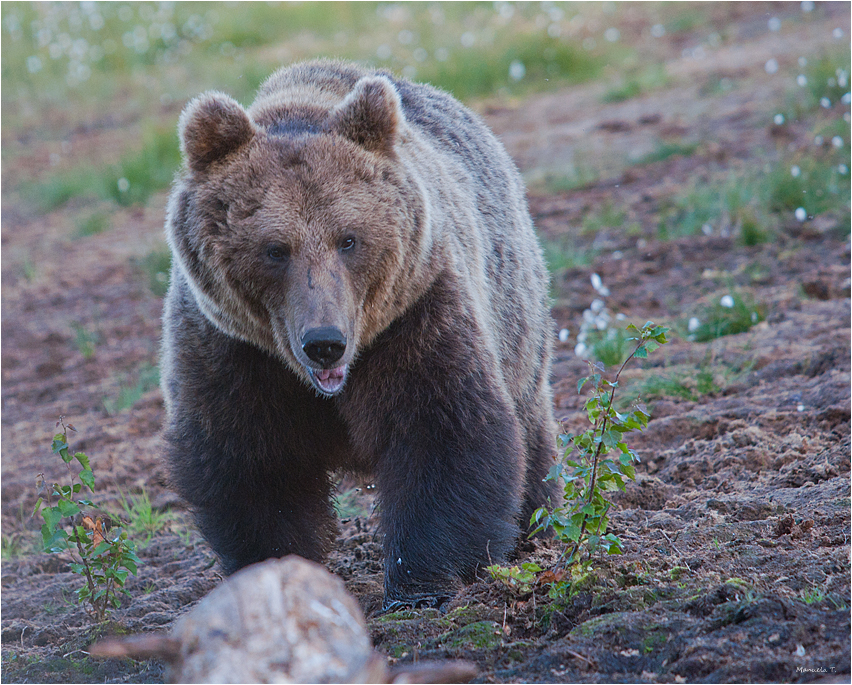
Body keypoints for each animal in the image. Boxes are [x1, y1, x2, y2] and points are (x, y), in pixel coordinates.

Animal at [162, 57, 556, 604]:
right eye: (274, 249)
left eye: (349, 239)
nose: (325, 343)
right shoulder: (231, 349)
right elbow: (249, 461)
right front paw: (274, 569)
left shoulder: (415, 314)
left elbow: (441, 429)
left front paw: (422, 580)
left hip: (514, 312)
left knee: (528, 424)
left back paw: (536, 525)